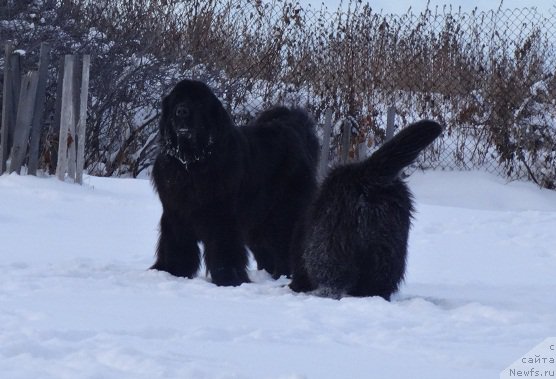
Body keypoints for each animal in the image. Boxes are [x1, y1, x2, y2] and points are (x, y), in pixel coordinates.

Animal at [151, 81, 318, 288]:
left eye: (197, 102)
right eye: (176, 100)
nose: (181, 111)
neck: (191, 163)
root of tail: (291, 127)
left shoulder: (223, 217)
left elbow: (224, 249)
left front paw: (229, 279)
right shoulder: (175, 213)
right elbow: (175, 245)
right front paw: (172, 271)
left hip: (284, 212)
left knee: (287, 243)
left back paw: (287, 275)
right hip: (258, 221)